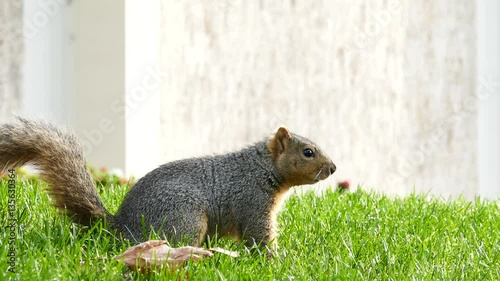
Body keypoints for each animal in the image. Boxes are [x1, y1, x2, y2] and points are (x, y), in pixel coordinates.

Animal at [0, 117, 336, 250]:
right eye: (308, 152)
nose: (333, 168)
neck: (260, 168)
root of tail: (121, 229)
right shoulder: (252, 202)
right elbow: (259, 237)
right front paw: (275, 260)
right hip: (185, 218)